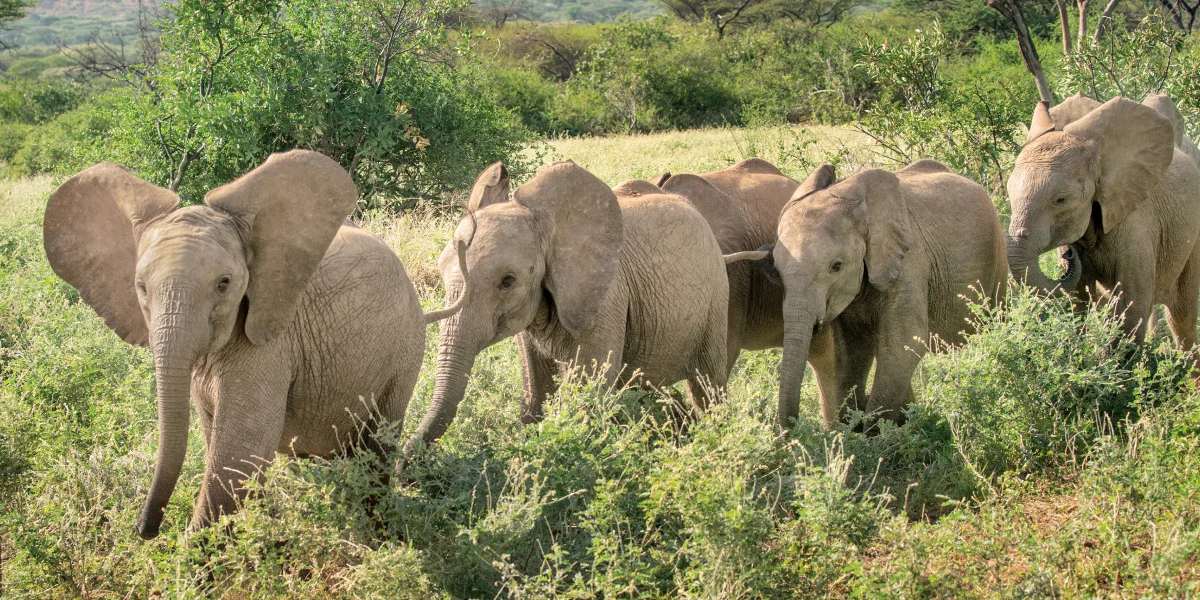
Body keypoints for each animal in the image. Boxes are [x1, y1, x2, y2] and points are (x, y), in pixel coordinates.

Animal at [43, 150, 466, 539]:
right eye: (141, 287)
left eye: (224, 284)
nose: (146, 529)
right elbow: (221, 445)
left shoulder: (268, 345)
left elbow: (239, 454)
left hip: (406, 349)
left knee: (377, 443)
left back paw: (376, 534)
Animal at [403, 160, 729, 453]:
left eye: (507, 281)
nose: (404, 459)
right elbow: (536, 388)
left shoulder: (605, 296)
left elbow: (588, 391)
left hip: (716, 297)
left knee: (709, 384)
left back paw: (713, 436)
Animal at [727, 160, 1008, 428]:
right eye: (777, 271)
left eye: (836, 266)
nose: (792, 430)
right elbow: (851, 351)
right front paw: (854, 426)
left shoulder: (909, 263)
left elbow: (904, 342)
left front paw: (875, 432)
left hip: (997, 256)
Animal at [1007, 97, 1200, 353]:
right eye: (1009, 193)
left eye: (1061, 200)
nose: (1069, 255)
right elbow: (1077, 303)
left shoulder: (1136, 227)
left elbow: (1131, 308)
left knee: (1182, 316)